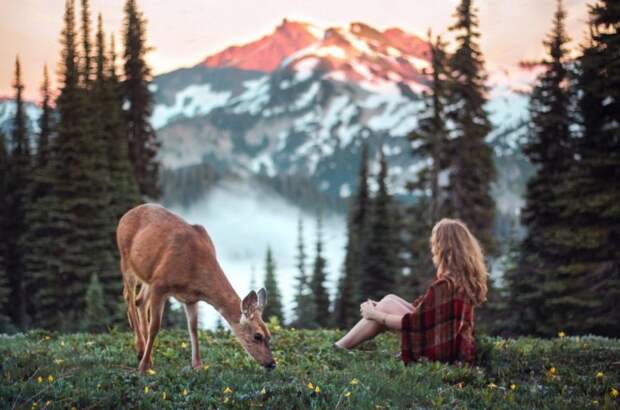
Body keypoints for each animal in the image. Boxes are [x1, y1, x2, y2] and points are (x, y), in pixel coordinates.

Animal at [115, 203, 274, 374]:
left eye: (269, 335)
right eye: (257, 336)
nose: (272, 363)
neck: (194, 268)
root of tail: (126, 215)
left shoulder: (190, 298)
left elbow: (193, 329)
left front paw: (197, 365)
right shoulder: (160, 284)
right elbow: (155, 327)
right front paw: (143, 367)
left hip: (147, 275)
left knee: (140, 301)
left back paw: (146, 353)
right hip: (126, 260)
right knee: (129, 297)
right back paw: (141, 350)